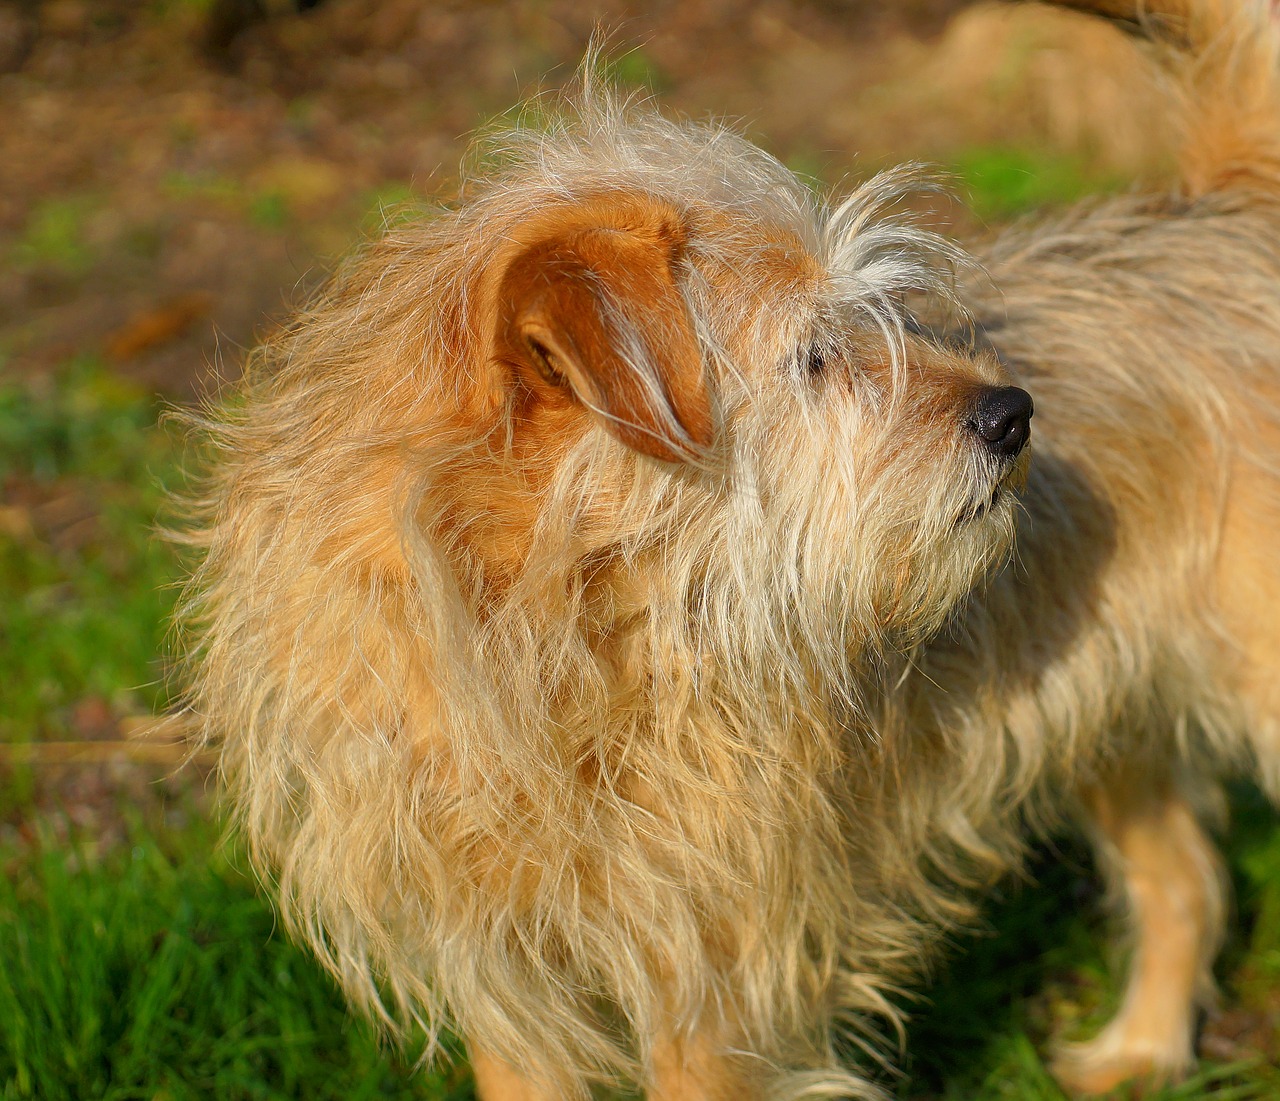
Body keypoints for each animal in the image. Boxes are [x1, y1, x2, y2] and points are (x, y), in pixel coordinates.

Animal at [183, 2, 1280, 1101]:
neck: (548, 652)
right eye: (813, 356)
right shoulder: (503, 975)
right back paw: (1140, 1052)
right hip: (1113, 713)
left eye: (884, 319)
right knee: (1181, 874)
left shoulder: (713, 967)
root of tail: (1227, 210)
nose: (1015, 413)